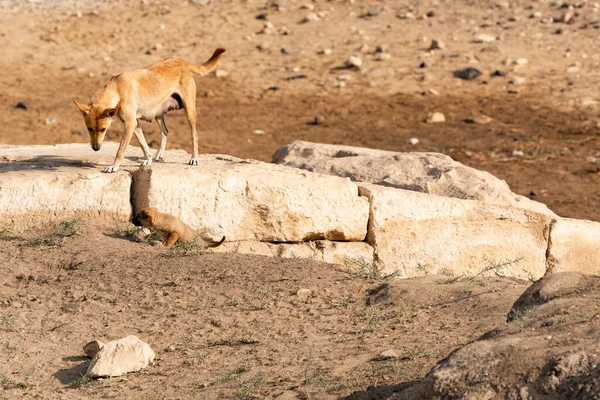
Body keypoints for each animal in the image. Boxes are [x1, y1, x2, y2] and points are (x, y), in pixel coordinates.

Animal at [72, 47, 226, 172]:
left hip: (189, 111)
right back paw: (159, 154)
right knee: (165, 131)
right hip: (158, 113)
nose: (96, 148)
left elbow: (120, 149)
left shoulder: (130, 124)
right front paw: (148, 159)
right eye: (89, 129)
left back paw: (194, 158)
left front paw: (114, 166)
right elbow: (143, 144)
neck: (117, 89)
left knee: (194, 134)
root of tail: (181, 61)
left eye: (103, 129)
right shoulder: (135, 124)